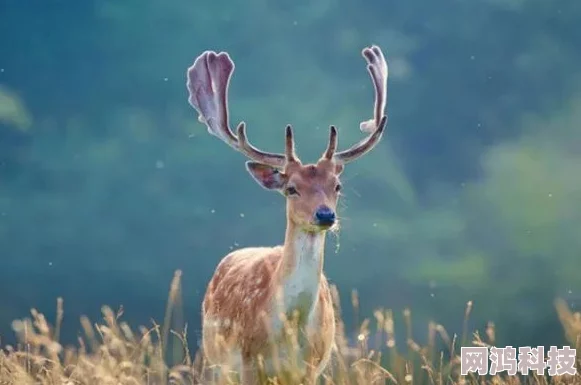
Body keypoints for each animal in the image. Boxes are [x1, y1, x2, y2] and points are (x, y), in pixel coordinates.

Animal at [185, 43, 386, 382]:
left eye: (337, 185)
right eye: (291, 188)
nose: (325, 215)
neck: (289, 330)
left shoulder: (310, 368)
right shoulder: (249, 363)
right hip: (216, 361)